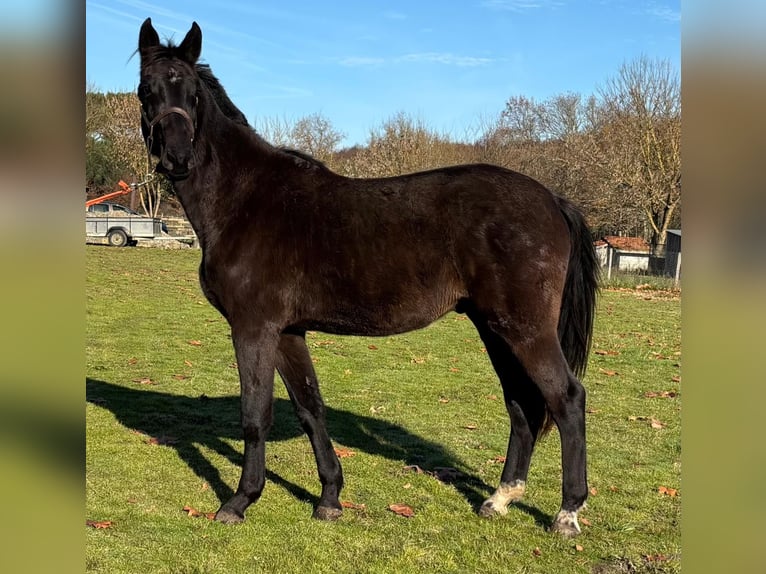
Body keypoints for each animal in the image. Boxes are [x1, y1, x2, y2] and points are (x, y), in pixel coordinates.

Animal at [136, 18, 599, 537]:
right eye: (146, 90)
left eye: (192, 93)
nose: (177, 158)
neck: (245, 200)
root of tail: (552, 200)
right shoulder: (289, 331)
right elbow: (310, 409)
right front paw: (329, 498)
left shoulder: (254, 328)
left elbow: (256, 415)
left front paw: (239, 501)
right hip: (495, 329)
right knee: (521, 403)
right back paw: (499, 499)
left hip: (525, 330)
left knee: (566, 399)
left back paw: (567, 514)